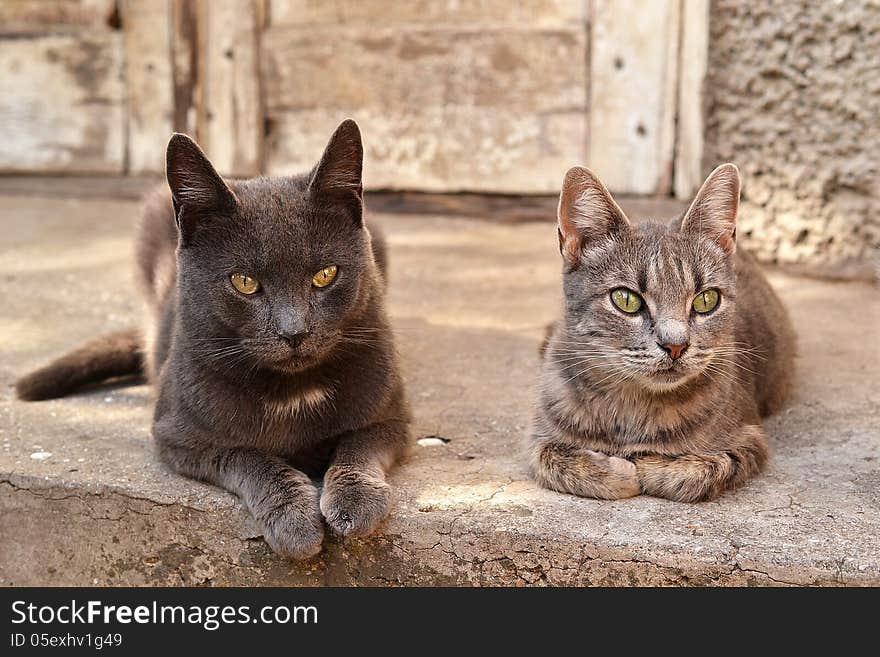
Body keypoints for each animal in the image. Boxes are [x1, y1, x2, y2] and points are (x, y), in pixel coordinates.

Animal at [17, 119, 410, 560]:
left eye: (325, 274)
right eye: (244, 282)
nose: (294, 331)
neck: (293, 389)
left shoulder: (392, 415)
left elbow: (360, 442)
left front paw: (355, 502)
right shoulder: (178, 436)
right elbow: (247, 456)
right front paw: (294, 522)